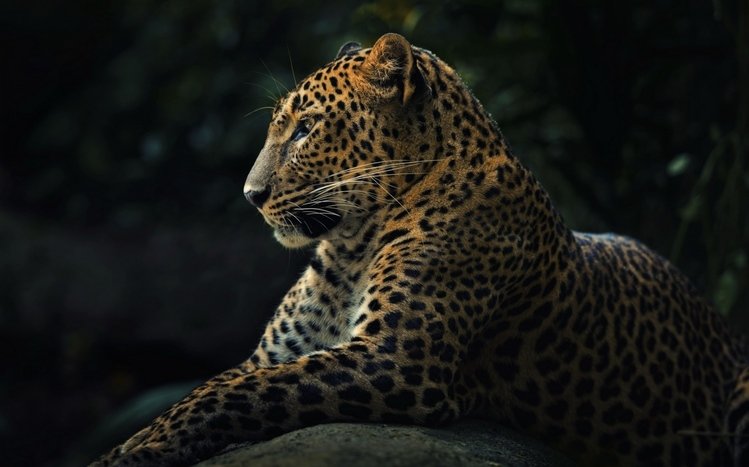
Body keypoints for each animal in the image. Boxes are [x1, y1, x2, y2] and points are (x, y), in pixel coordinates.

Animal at [92, 33, 749, 466]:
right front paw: (131, 444)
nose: (252, 196)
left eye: (304, 129)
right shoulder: (274, 353)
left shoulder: (397, 360)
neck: (349, 249)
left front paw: (137, 451)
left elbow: (225, 392)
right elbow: (209, 387)